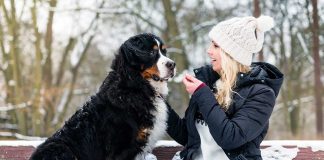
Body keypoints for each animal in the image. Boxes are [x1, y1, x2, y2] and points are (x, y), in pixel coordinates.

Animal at [30, 33, 176, 159]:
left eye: (164, 52)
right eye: (151, 52)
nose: (172, 64)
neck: (135, 87)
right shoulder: (120, 149)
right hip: (62, 149)